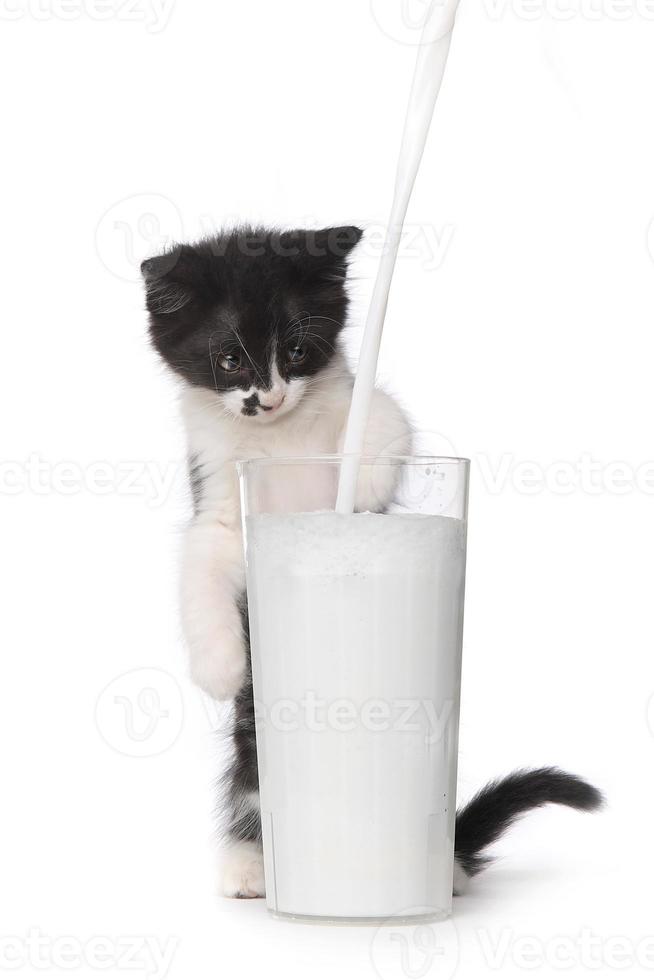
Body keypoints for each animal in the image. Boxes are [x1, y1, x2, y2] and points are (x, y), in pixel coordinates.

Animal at [144, 226, 604, 900]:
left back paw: (442, 871)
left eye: (299, 349)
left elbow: (385, 412)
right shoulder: (220, 498)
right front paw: (218, 667)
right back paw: (250, 865)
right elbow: (200, 560)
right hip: (259, 730)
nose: (268, 398)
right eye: (229, 360)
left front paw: (357, 482)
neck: (279, 442)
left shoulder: (357, 403)